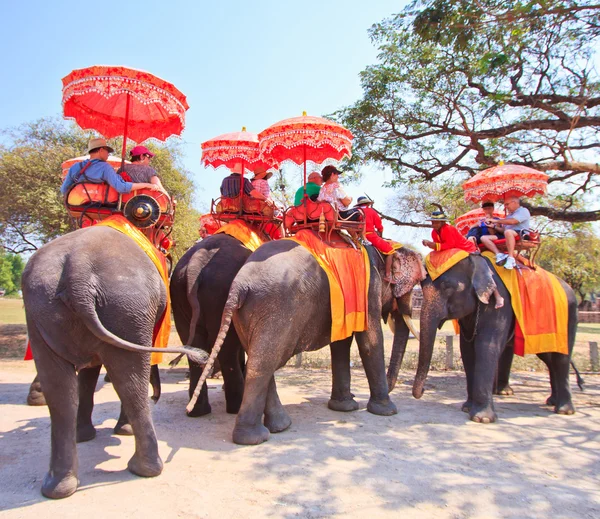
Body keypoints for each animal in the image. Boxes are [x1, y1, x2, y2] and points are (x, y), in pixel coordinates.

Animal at [21, 228, 206, 500]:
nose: (157, 397)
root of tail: (78, 267)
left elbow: (90, 373)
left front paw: (90, 435)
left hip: (62, 309)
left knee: (67, 391)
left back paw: (58, 488)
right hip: (118, 307)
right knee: (124, 382)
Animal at [195, 240, 424, 446]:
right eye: (414, 286)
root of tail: (240, 285)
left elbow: (341, 343)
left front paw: (345, 406)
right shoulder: (368, 290)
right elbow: (370, 341)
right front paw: (387, 411)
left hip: (246, 314)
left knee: (261, 358)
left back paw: (280, 426)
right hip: (276, 309)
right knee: (265, 362)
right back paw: (256, 438)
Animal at [412, 254, 576, 424]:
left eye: (447, 286)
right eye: (421, 286)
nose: (423, 390)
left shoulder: (500, 306)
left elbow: (486, 346)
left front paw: (482, 419)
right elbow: (467, 350)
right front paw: (467, 408)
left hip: (568, 316)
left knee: (561, 358)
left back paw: (564, 410)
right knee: (549, 357)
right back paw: (551, 401)